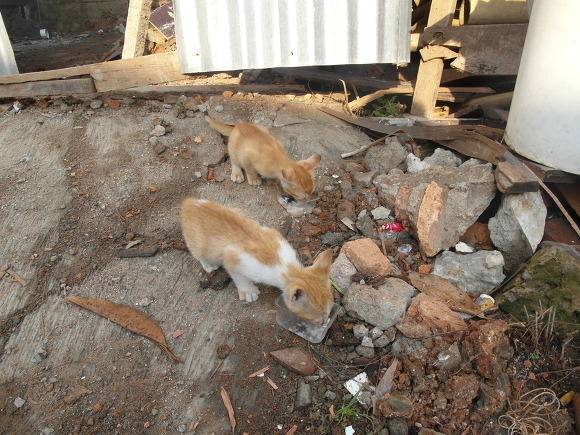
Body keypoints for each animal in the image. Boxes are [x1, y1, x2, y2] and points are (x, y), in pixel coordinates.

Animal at [181, 198, 336, 324]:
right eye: (314, 319)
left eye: (329, 312)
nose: (324, 322)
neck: (285, 266)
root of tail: (189, 202)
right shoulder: (232, 256)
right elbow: (237, 274)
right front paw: (248, 291)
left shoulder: (271, 233)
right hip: (199, 245)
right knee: (198, 252)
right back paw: (208, 264)